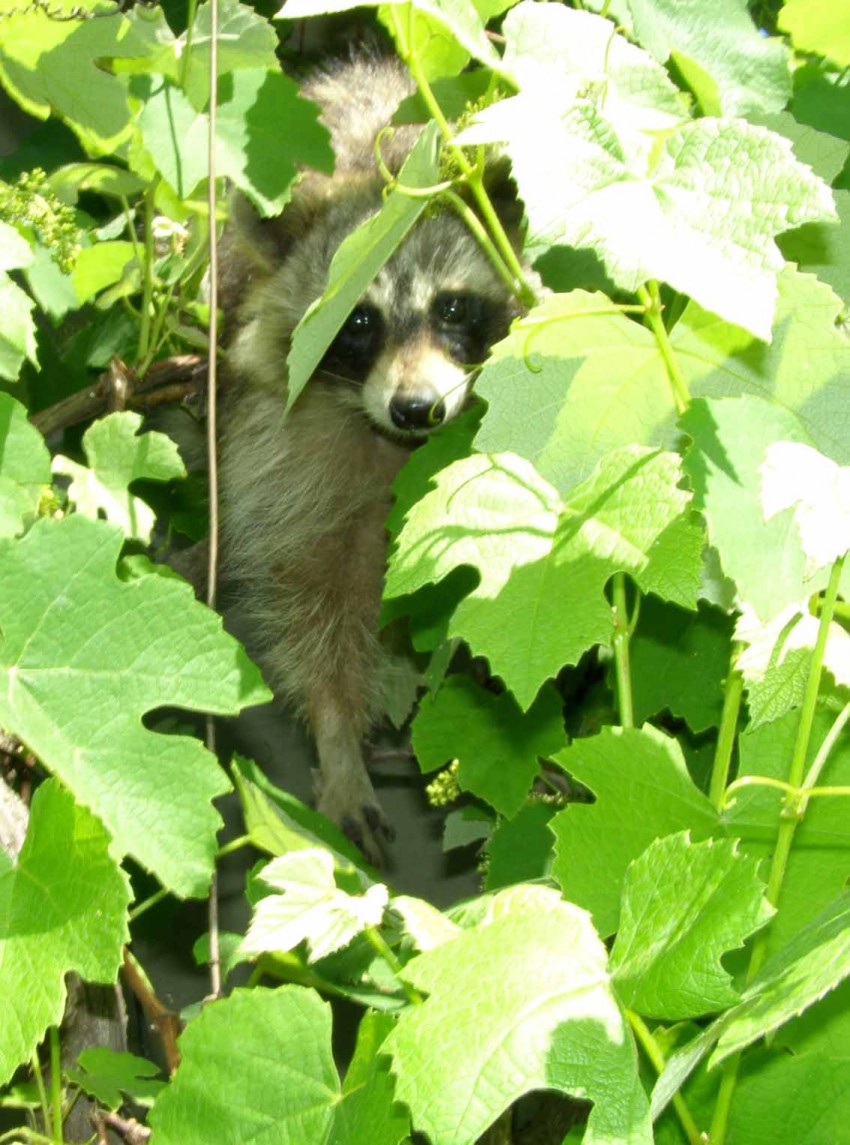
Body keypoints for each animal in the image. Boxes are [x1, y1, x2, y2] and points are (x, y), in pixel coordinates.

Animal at [219, 51, 526, 861]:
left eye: (451, 307)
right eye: (357, 321)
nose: (416, 408)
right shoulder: (284, 451)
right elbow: (308, 589)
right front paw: (337, 737)